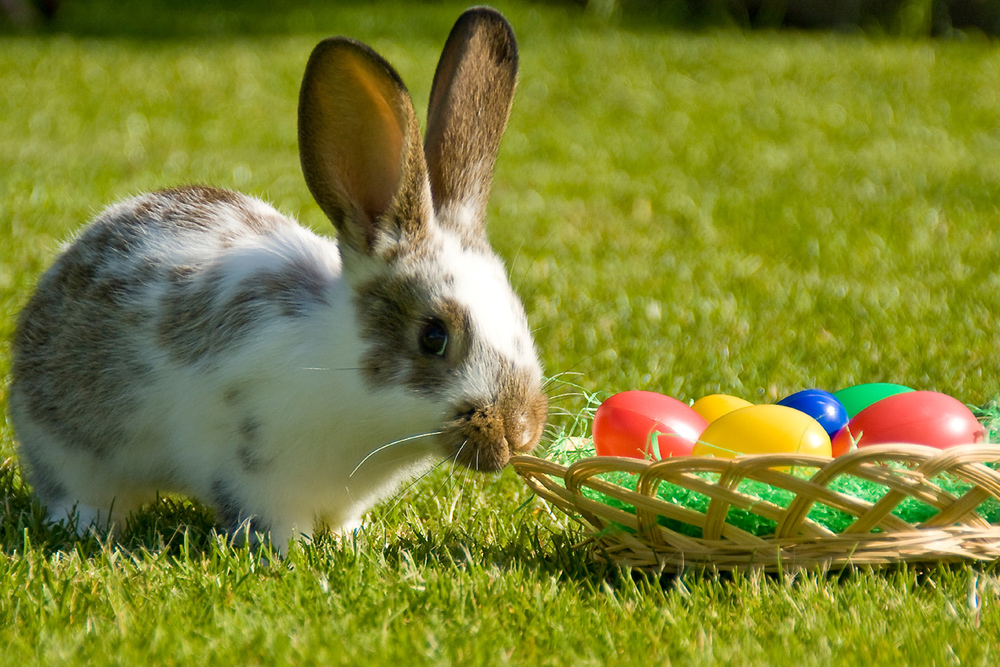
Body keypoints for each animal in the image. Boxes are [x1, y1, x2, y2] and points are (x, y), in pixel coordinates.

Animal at [7, 6, 548, 552]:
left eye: (518, 313)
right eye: (433, 337)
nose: (518, 432)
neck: (340, 370)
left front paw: (348, 543)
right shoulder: (257, 477)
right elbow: (274, 524)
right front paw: (291, 555)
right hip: (73, 454)